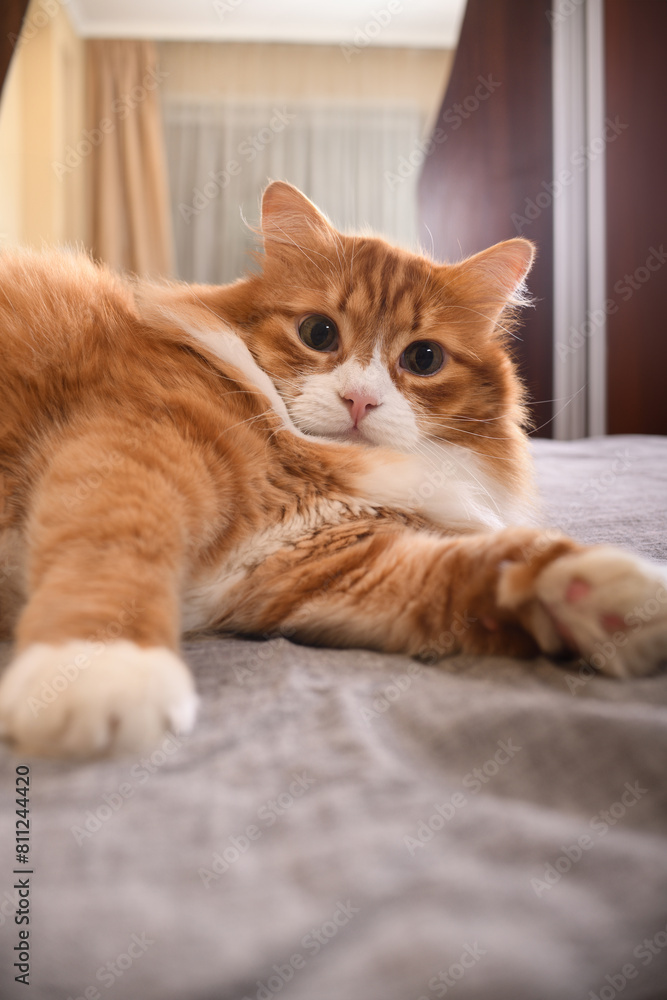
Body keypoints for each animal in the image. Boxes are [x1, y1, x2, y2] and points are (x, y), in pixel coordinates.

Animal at [1, 184, 667, 756]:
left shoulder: (329, 564)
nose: (360, 401)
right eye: (319, 332)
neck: (314, 462)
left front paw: (602, 594)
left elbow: (485, 566)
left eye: (424, 358)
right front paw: (96, 674)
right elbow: (113, 551)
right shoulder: (140, 445)